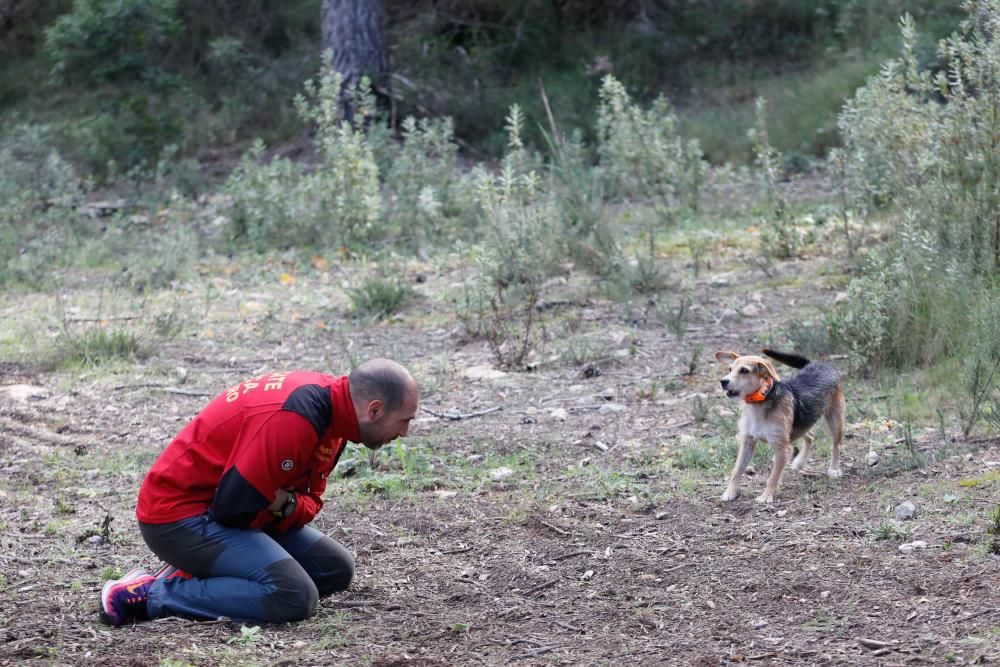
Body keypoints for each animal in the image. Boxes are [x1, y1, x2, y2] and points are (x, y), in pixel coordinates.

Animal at [712, 350, 844, 500]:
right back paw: (800, 462)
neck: (760, 399)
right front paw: (729, 493)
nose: (723, 381)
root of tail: (819, 364)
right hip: (801, 425)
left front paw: (766, 496)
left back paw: (834, 469)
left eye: (744, 370)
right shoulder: (747, 443)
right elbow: (737, 470)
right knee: (810, 435)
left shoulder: (782, 448)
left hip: (835, 420)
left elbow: (773, 477)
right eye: (730, 369)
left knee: (836, 446)